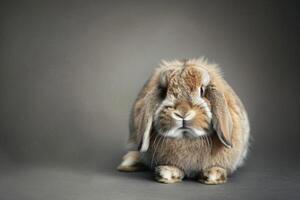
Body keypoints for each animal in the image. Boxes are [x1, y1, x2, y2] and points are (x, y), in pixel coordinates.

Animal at [118, 57, 251, 184]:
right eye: (165, 92)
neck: (186, 137)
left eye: (202, 91)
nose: (183, 113)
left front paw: (213, 175)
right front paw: (166, 173)